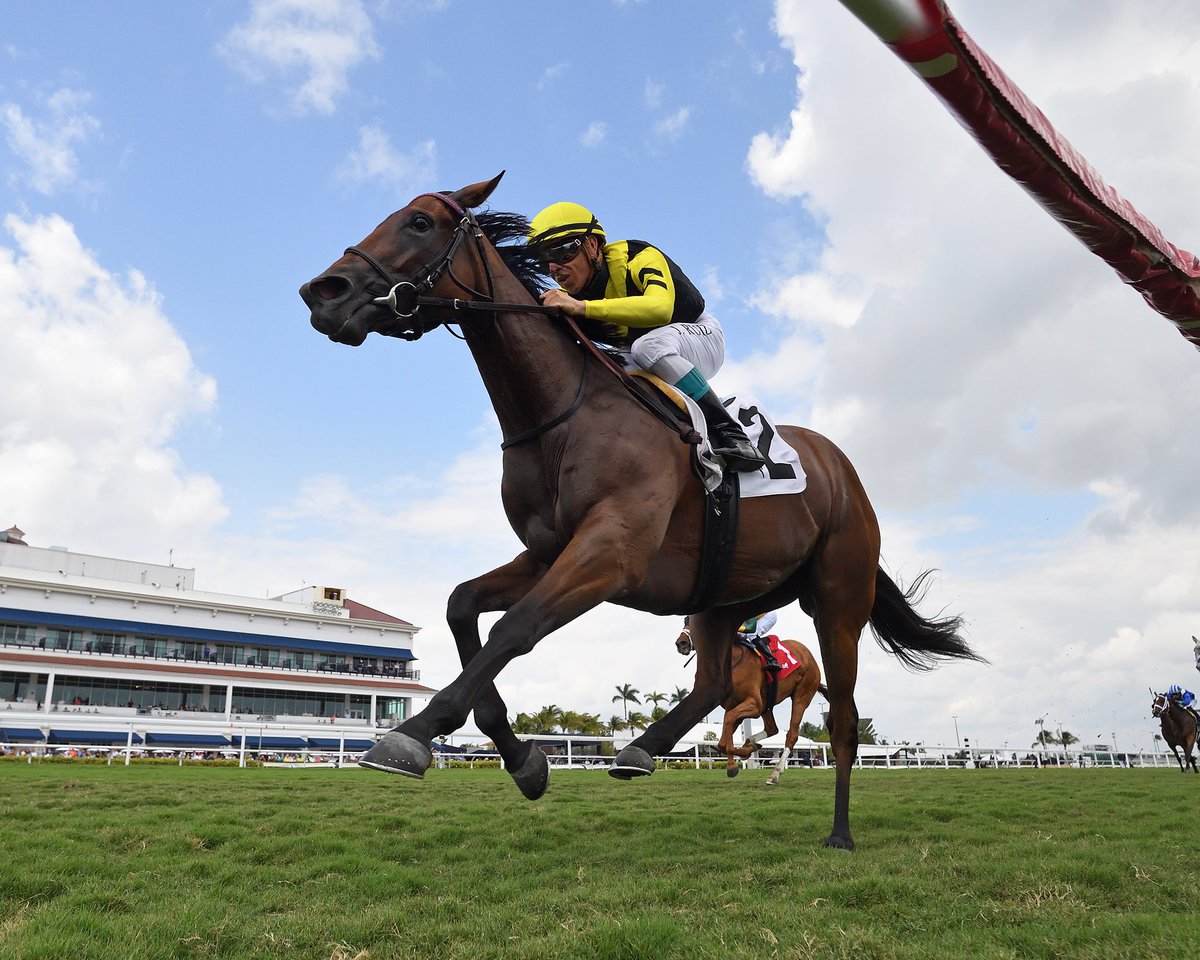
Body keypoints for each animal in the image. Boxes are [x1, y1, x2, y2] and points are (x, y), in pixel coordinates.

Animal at [676, 619, 825, 782]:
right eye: (685, 620)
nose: (681, 643)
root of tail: (809, 656)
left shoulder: (754, 704)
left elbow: (728, 726)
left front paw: (736, 761)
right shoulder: (735, 705)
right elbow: (723, 740)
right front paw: (740, 756)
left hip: (802, 695)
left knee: (791, 734)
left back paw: (775, 773)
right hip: (768, 703)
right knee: (772, 728)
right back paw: (751, 743)